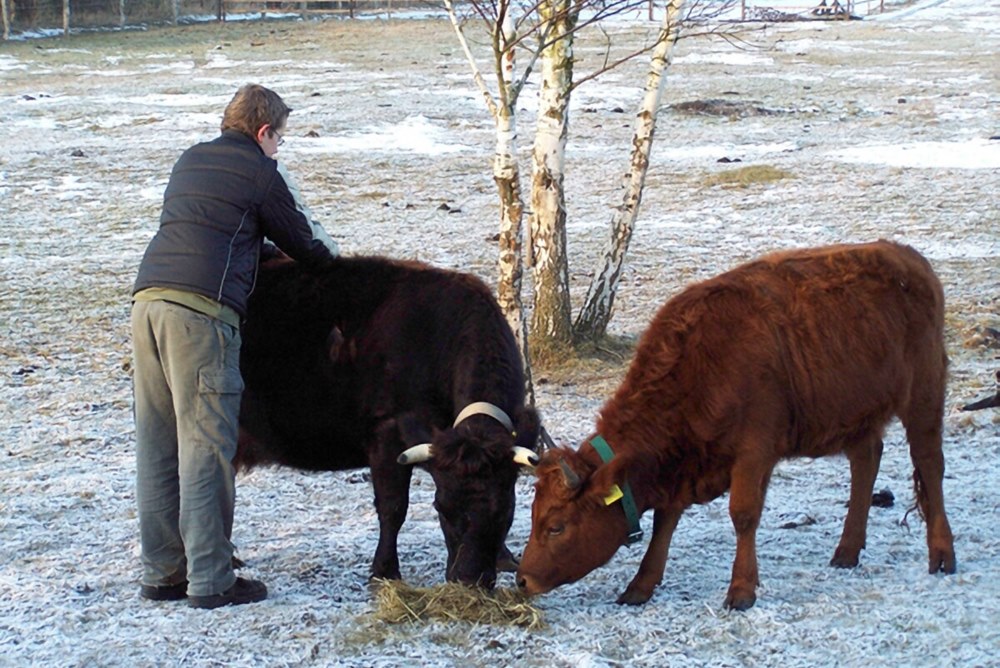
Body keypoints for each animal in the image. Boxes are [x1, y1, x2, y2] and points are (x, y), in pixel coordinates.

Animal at [235, 258, 540, 588]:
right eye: (441, 508)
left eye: (505, 511)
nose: (468, 579)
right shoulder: (387, 435)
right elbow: (393, 507)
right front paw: (384, 571)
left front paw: (504, 557)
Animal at [520, 240, 956, 612]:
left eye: (556, 526)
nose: (523, 579)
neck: (703, 362)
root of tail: (908, 257)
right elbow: (666, 520)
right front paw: (640, 585)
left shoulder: (753, 453)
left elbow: (743, 514)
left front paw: (741, 589)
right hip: (858, 412)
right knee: (866, 460)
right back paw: (846, 551)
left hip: (925, 394)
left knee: (930, 463)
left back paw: (942, 555)